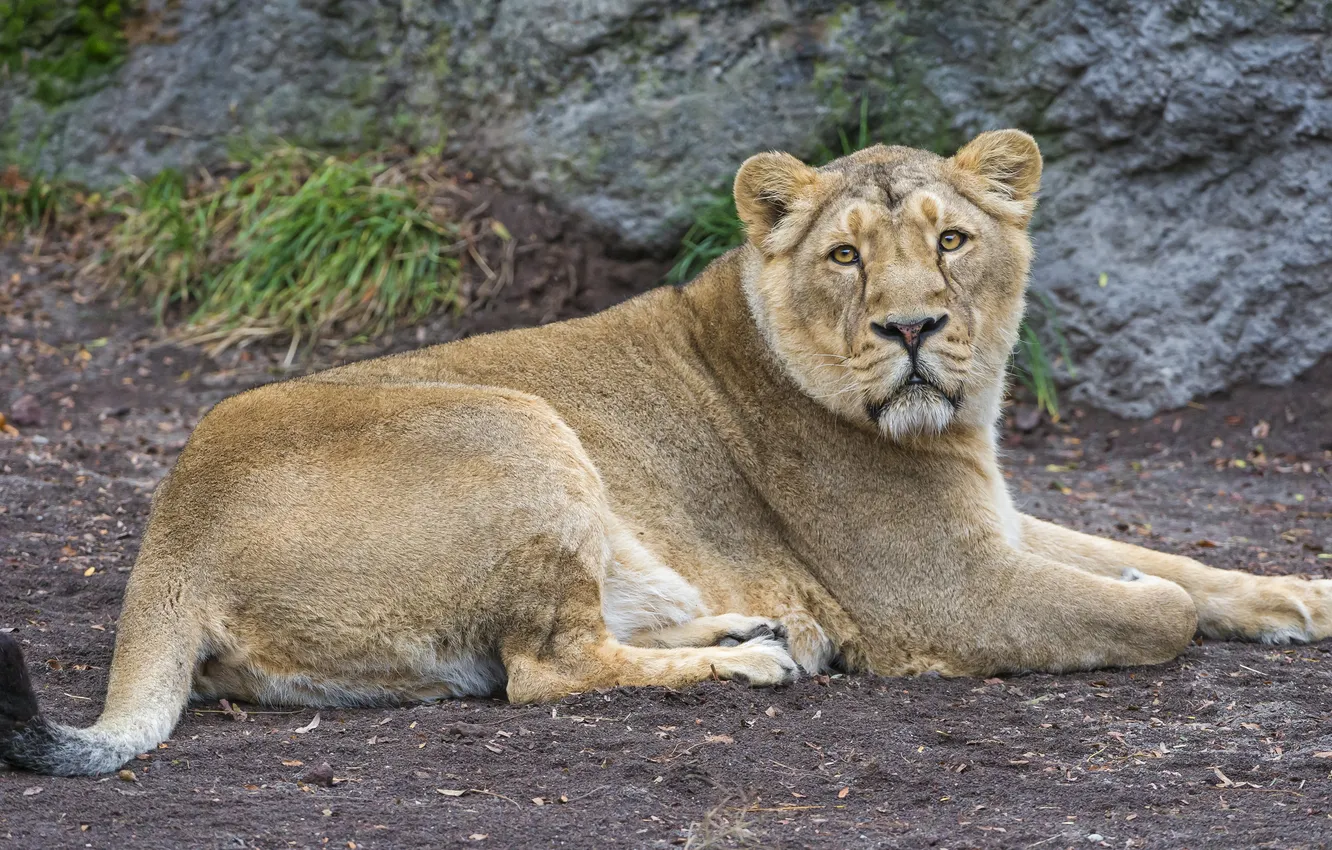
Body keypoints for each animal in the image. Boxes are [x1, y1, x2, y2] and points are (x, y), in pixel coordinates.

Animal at [3, 130, 1329, 776]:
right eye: (846, 256)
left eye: (951, 240)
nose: (911, 328)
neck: (952, 424)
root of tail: (168, 535)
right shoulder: (948, 591)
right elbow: (1152, 606)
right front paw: (1152, 594)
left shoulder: (993, 522)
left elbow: (1181, 564)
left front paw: (1299, 596)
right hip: (512, 421)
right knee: (544, 669)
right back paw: (755, 659)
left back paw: (749, 627)